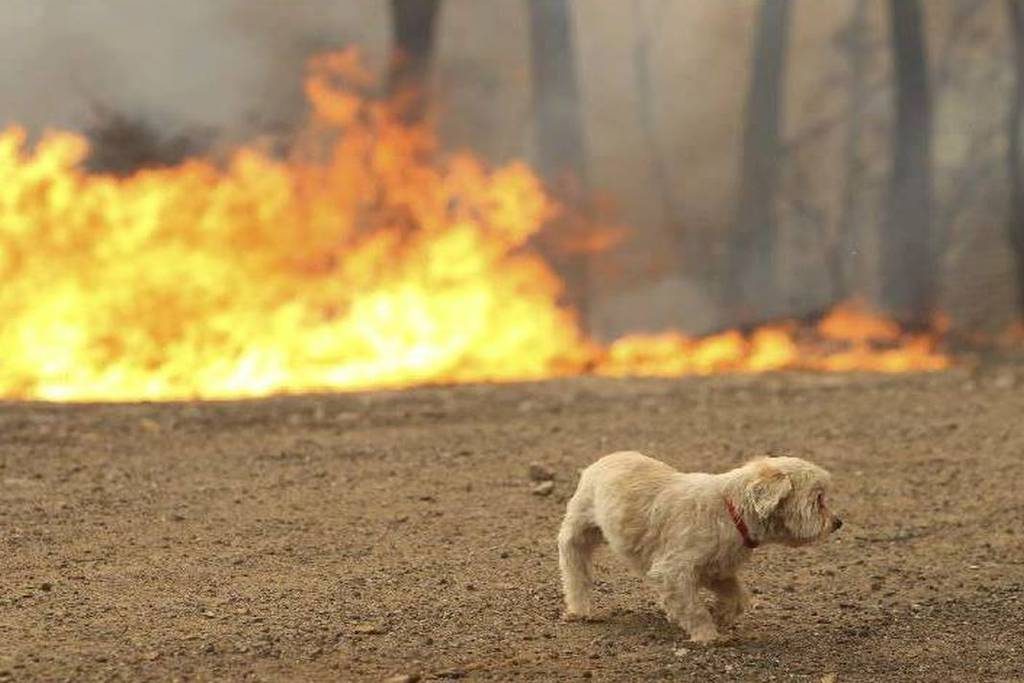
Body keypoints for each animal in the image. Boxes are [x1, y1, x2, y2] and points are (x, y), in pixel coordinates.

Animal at [561, 454, 839, 643]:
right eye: (818, 500)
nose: (839, 523)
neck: (732, 510)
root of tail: (603, 460)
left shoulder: (716, 569)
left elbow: (737, 596)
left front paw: (721, 615)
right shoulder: (674, 570)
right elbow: (693, 607)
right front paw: (707, 634)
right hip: (579, 530)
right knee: (574, 567)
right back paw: (579, 609)